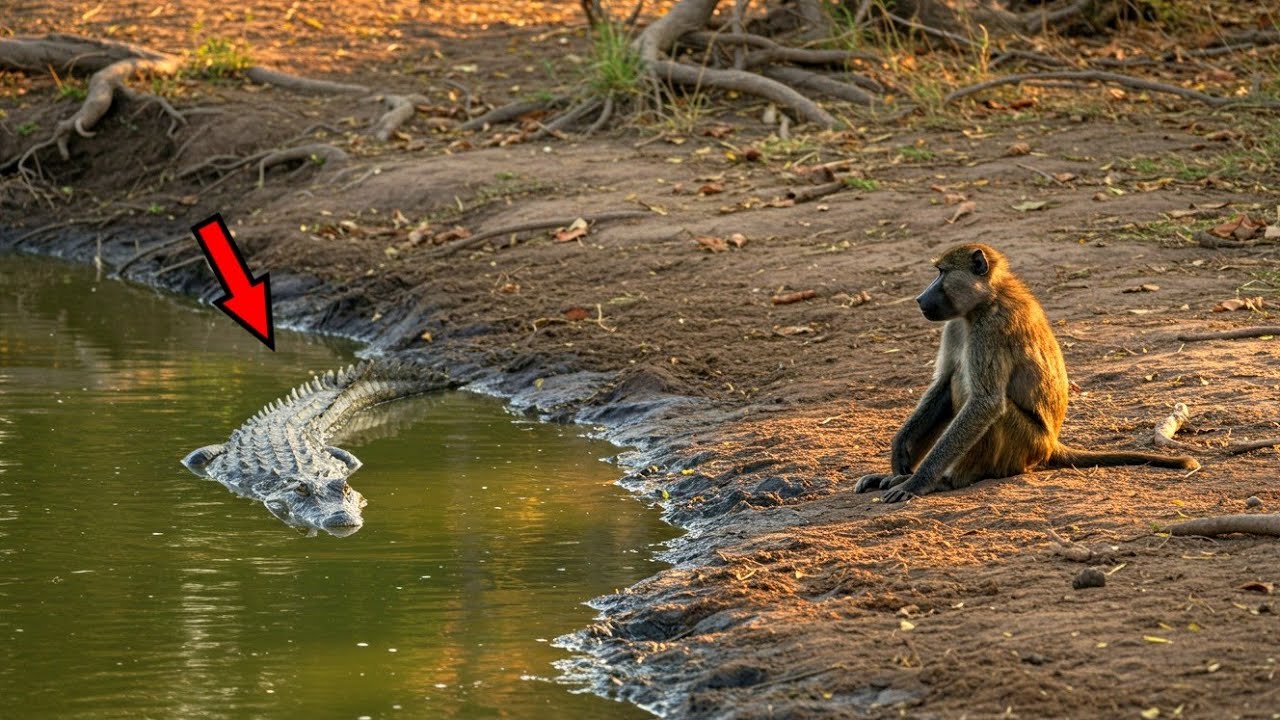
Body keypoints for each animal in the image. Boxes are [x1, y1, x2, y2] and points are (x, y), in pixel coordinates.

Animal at [855, 243, 1199, 503]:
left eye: (942, 273)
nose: (919, 299)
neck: (985, 300)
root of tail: (1050, 444)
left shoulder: (991, 329)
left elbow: (986, 402)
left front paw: (917, 482)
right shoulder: (956, 324)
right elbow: (941, 384)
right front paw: (899, 460)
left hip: (1024, 445)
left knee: (992, 410)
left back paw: (950, 480)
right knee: (955, 385)